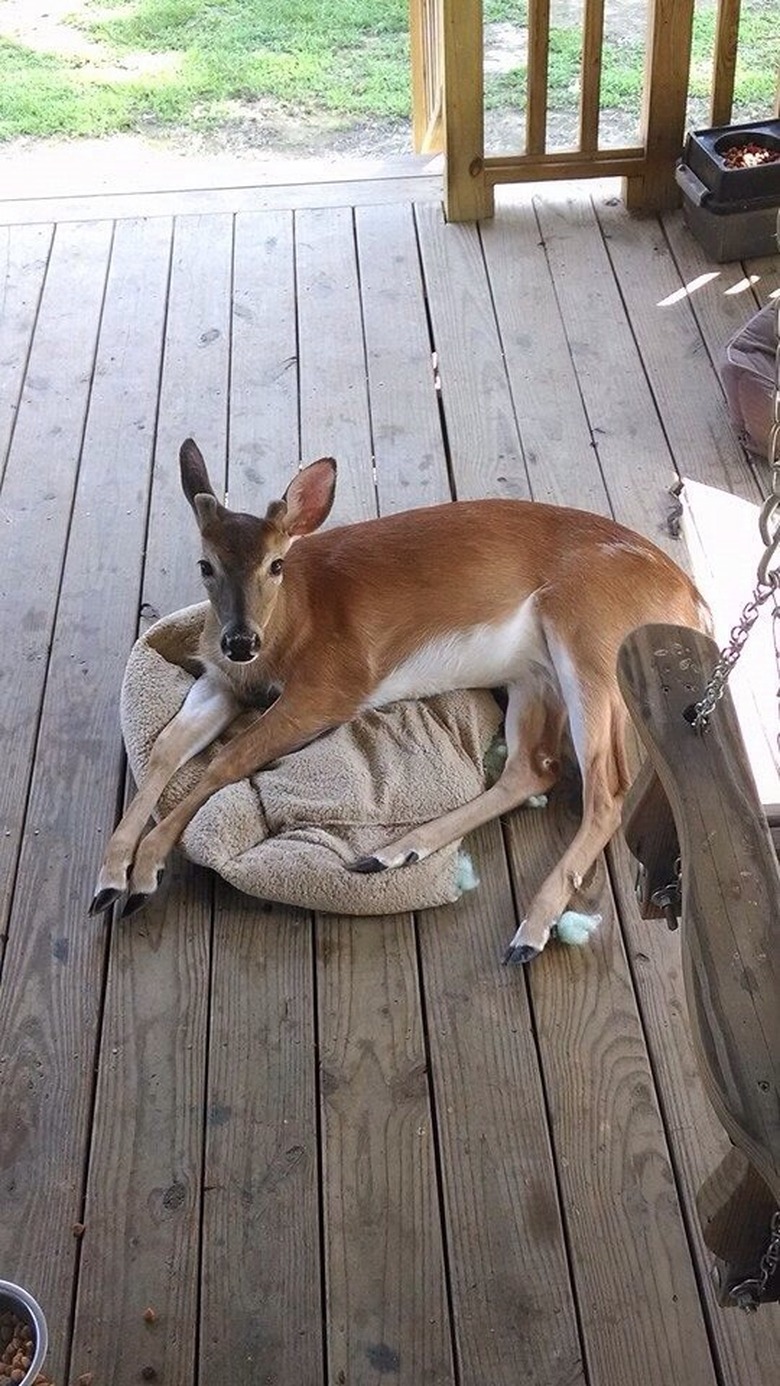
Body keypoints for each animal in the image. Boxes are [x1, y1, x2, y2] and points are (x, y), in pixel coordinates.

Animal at [90, 440, 709, 964]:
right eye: (206, 565)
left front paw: (145, 871)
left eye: (276, 563)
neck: (295, 623)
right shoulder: (223, 680)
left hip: (591, 638)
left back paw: (528, 933)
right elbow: (167, 747)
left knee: (607, 788)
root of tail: (692, 599)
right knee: (535, 768)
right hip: (535, 672)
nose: (239, 640)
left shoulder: (333, 686)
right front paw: (110, 876)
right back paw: (396, 851)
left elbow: (226, 759)